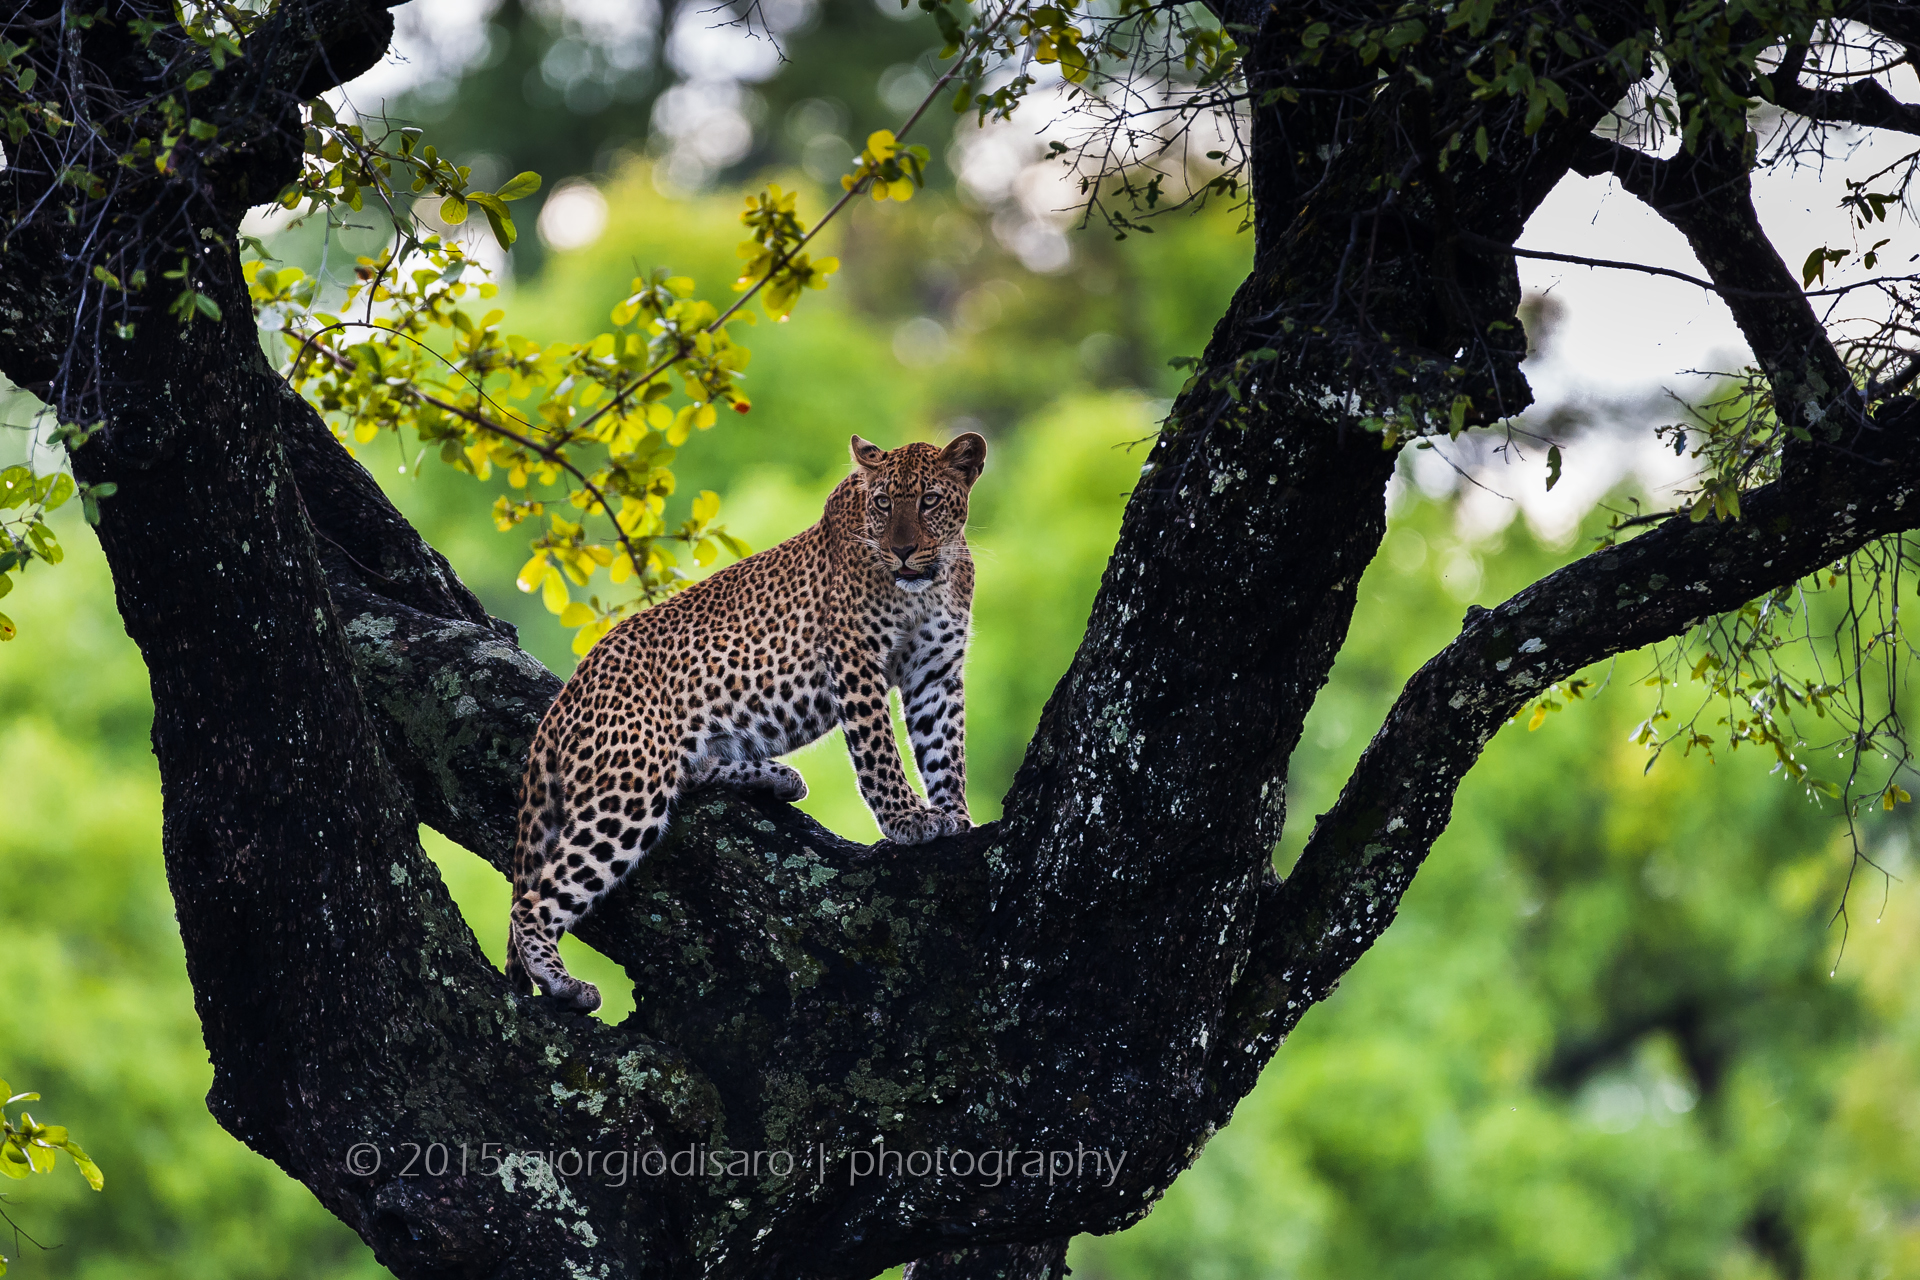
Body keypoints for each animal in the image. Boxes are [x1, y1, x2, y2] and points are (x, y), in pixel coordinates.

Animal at [504, 432, 987, 1011]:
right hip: (627, 788)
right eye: (883, 503)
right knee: (532, 900)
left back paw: (776, 777)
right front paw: (907, 820)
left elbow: (946, 749)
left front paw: (955, 815)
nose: (902, 551)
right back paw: (562, 981)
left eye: (930, 501)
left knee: (691, 774)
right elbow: (879, 753)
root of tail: (564, 700)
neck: (928, 585)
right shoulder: (855, 658)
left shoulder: (935, 674)